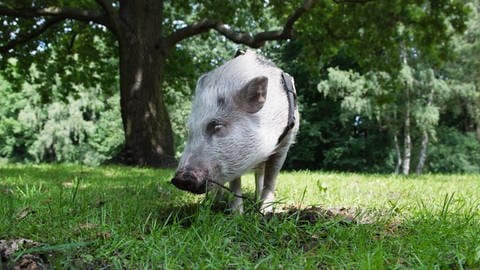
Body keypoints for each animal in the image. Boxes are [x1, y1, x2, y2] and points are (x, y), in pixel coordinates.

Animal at [172, 50, 300, 213]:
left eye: (216, 126)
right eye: (190, 130)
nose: (179, 179)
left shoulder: (284, 144)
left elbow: (271, 179)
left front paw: (265, 212)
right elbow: (234, 183)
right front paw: (236, 214)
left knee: (260, 174)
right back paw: (213, 203)